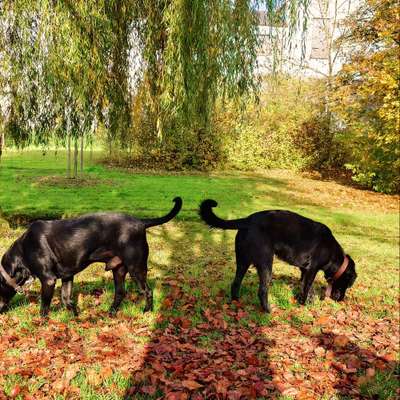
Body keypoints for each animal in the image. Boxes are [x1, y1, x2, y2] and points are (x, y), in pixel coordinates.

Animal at [0, 197, 183, 316]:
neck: (23, 251)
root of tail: (141, 222)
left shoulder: (48, 280)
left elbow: (44, 308)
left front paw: (42, 324)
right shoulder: (67, 276)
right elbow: (66, 300)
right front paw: (75, 317)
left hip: (136, 268)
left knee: (147, 291)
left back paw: (146, 311)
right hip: (118, 270)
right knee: (120, 292)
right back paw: (110, 312)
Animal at [200, 200, 356, 312]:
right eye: (348, 284)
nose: (342, 300)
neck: (333, 254)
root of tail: (248, 219)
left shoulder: (305, 271)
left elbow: (306, 287)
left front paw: (308, 301)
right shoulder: (312, 270)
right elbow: (307, 288)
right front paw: (304, 305)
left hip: (243, 262)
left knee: (235, 283)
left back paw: (236, 303)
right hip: (266, 264)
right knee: (262, 291)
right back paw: (268, 311)